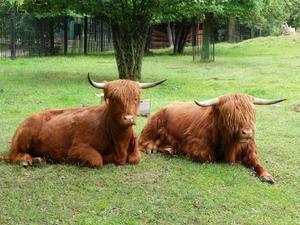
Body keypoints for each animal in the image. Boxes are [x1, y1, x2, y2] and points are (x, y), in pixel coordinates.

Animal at [139, 93, 284, 183]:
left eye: (251, 113)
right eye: (229, 114)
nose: (247, 133)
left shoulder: (250, 149)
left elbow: (256, 162)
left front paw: (267, 176)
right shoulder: (194, 143)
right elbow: (209, 157)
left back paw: (169, 150)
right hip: (154, 124)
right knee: (143, 142)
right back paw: (154, 148)